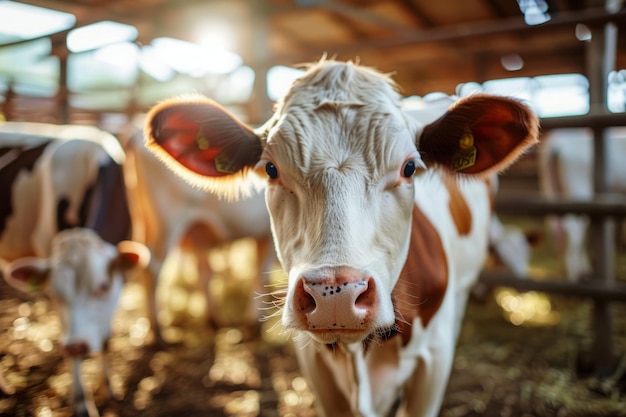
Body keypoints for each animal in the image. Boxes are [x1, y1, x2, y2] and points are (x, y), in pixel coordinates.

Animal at [0, 122, 149, 416]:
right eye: (55, 294)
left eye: (102, 286)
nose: (75, 345)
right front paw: (81, 401)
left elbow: (106, 335)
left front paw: (108, 387)